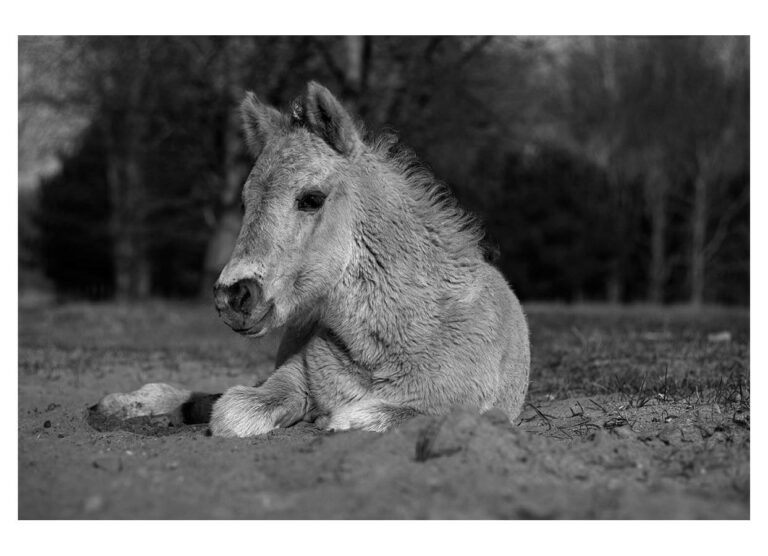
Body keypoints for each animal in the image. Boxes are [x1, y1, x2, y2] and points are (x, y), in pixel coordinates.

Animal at [94, 81, 530, 437]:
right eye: (245, 202)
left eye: (311, 198)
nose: (232, 297)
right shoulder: (291, 379)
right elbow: (233, 410)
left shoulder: (464, 408)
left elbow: (358, 417)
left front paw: (326, 419)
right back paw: (125, 403)